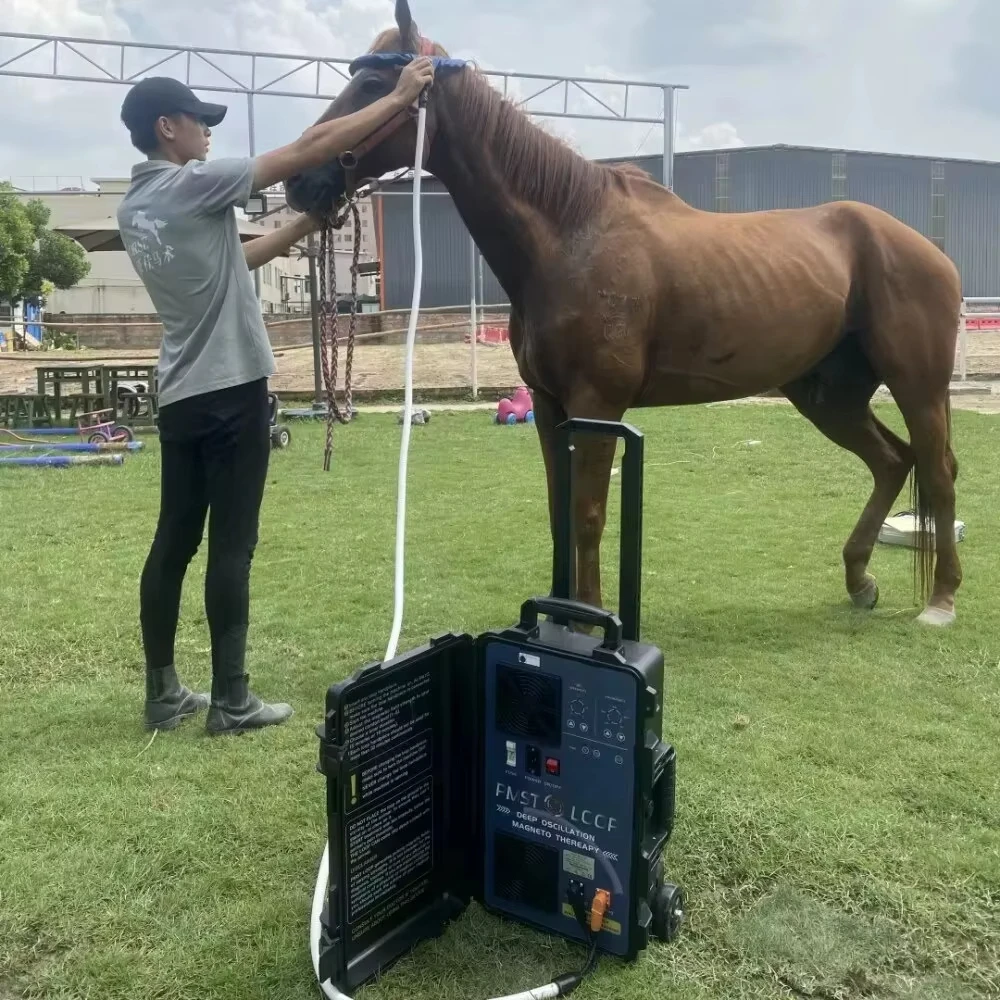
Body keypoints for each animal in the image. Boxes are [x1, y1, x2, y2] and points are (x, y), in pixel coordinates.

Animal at [285, 0, 964, 628]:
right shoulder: (550, 408)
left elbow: (588, 515)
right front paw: (559, 614)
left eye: (376, 84)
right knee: (892, 461)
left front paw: (587, 619)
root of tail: (927, 249)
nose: (298, 181)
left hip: (918, 386)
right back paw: (860, 581)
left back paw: (941, 599)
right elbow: (558, 511)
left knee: (937, 468)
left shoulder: (597, 405)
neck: (569, 236)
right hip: (828, 395)